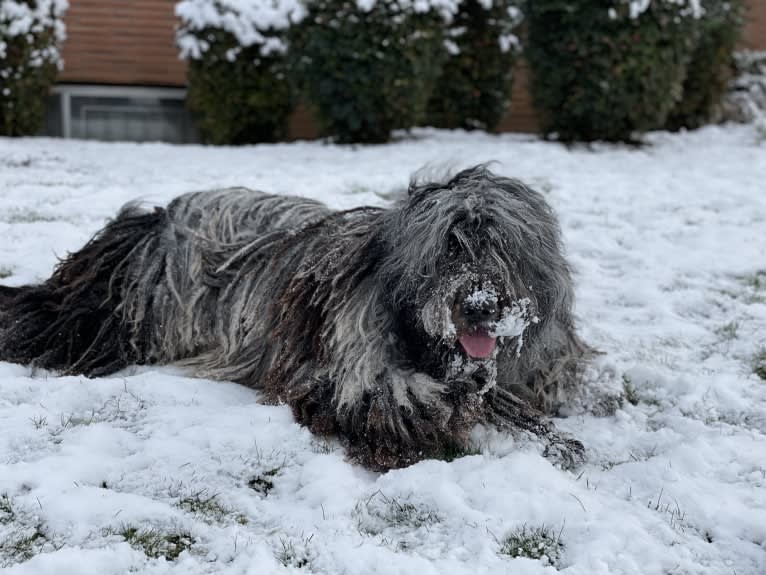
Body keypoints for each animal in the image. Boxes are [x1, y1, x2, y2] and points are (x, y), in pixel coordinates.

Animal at [0, 166, 592, 472]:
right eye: (448, 247)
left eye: (505, 248)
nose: (480, 306)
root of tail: (155, 219)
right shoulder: (349, 373)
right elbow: (414, 405)